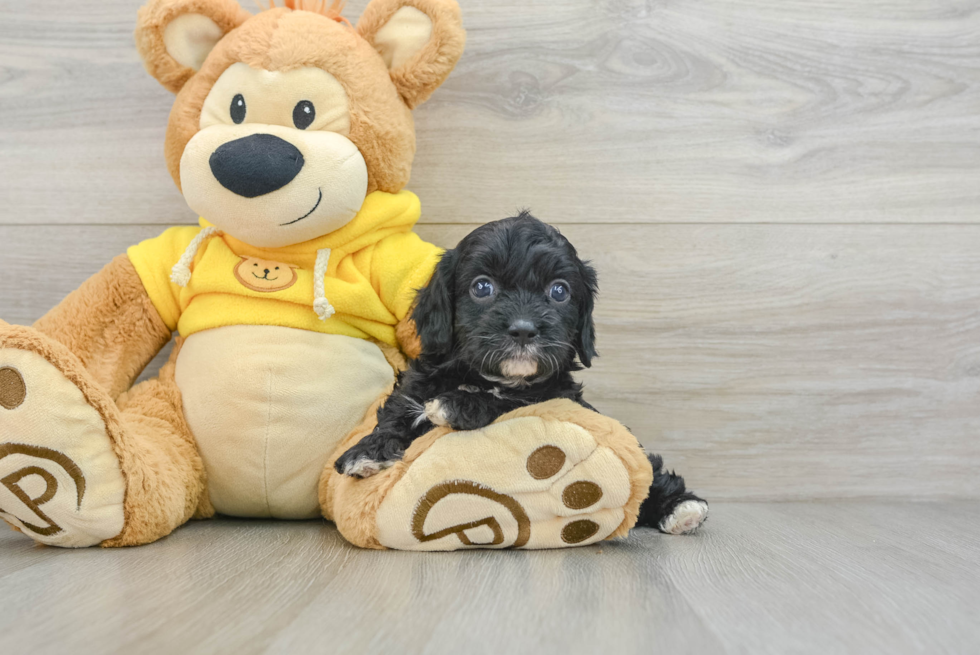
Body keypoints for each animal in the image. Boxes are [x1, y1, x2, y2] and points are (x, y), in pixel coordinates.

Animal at [334, 215, 704, 532]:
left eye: (559, 291)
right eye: (482, 287)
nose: (524, 329)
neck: (491, 377)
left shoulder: (554, 398)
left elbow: (507, 402)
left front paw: (456, 404)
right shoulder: (419, 383)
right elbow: (397, 412)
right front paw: (367, 451)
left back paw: (681, 508)